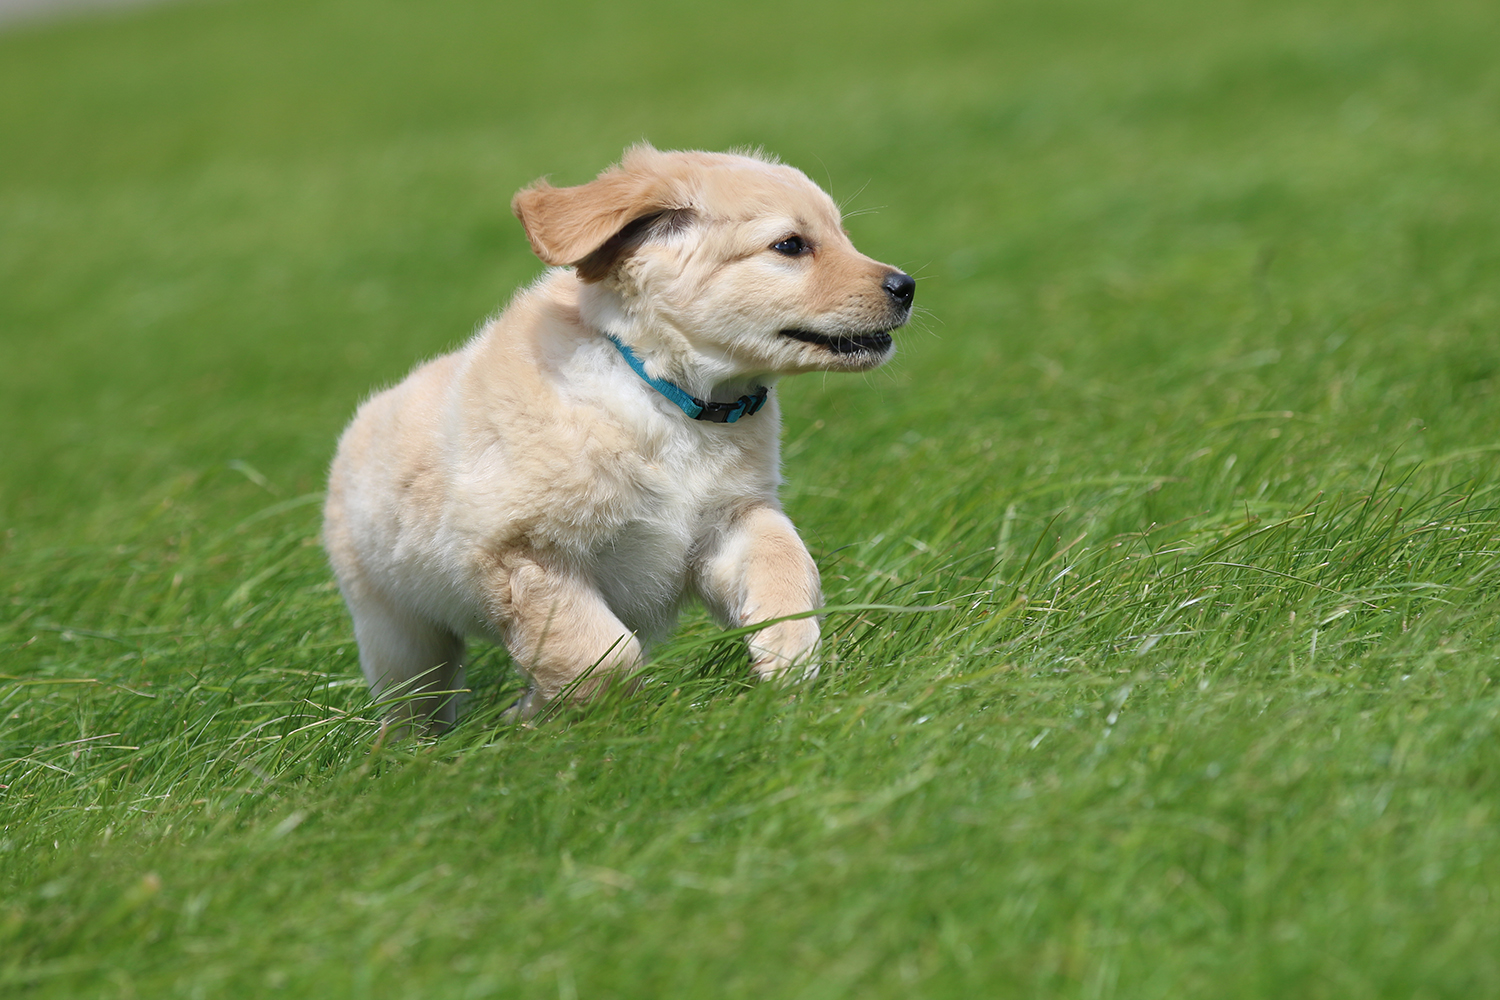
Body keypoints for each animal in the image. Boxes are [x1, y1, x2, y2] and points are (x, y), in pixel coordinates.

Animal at [322, 145, 914, 730]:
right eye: (790, 245)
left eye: (841, 234)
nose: (906, 286)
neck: (665, 394)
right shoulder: (525, 553)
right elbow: (598, 653)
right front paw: (542, 715)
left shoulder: (731, 517)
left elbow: (785, 560)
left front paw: (790, 649)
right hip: (398, 634)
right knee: (415, 706)